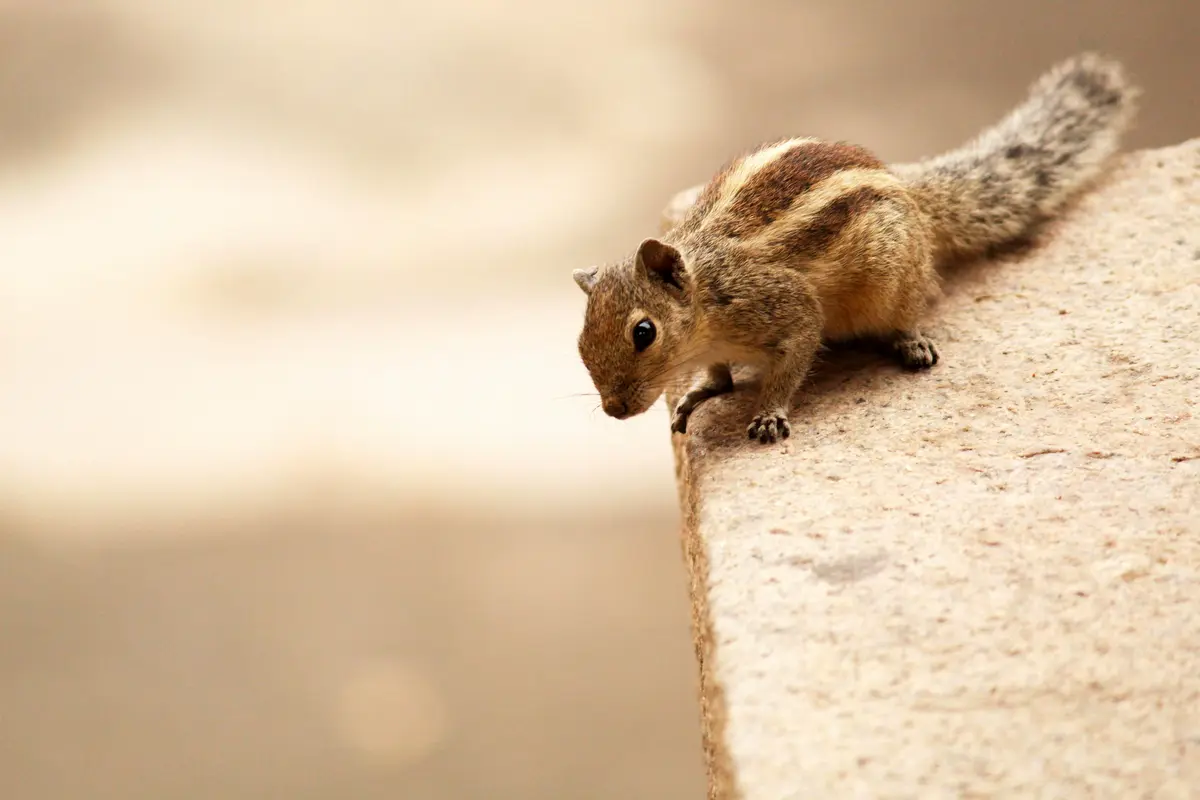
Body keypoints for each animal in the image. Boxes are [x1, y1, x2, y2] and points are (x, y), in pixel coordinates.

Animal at [572, 53, 1138, 444]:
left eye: (643, 332)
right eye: (579, 343)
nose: (614, 410)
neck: (709, 291)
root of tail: (909, 192)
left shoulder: (787, 310)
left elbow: (792, 360)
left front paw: (768, 413)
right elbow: (717, 375)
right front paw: (701, 391)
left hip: (893, 279)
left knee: (909, 307)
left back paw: (911, 341)